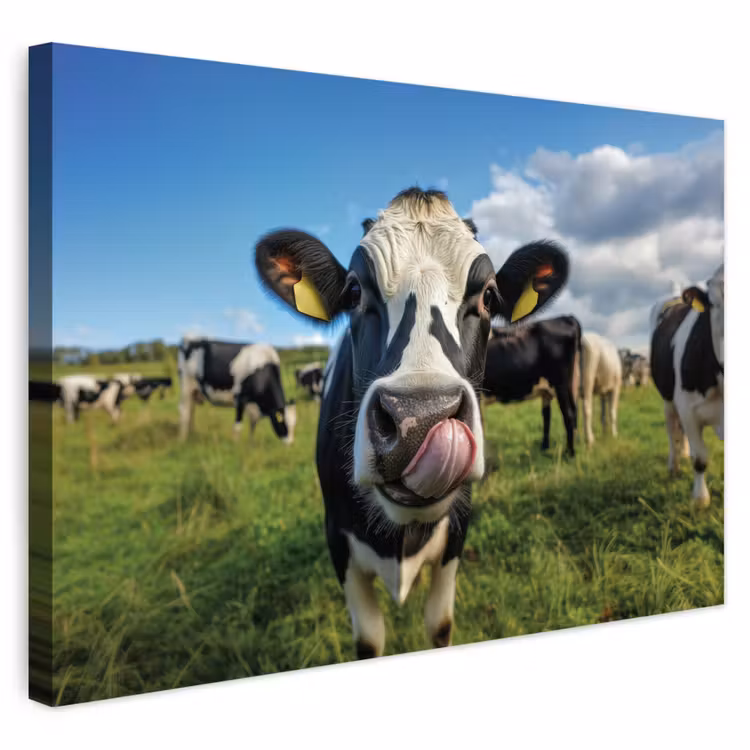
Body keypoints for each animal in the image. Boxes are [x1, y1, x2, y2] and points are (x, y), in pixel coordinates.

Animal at [254, 187, 569, 658]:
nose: (419, 419)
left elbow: (440, 625)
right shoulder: (338, 542)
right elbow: (369, 640)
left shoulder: (457, 531)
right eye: (353, 291)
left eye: (489, 296)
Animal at [481, 315, 582, 457]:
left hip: (560, 384)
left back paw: (570, 454)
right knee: (552, 414)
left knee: (568, 415)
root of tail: (566, 317)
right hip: (565, 385)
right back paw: (545, 448)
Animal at [649, 264, 724, 506]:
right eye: (715, 303)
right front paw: (700, 499)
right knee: (672, 430)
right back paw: (674, 464)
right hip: (668, 398)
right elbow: (700, 458)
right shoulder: (688, 409)